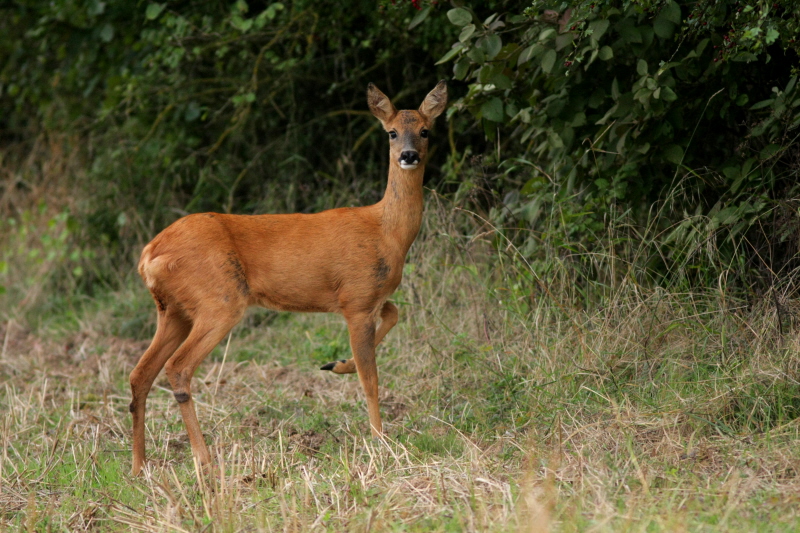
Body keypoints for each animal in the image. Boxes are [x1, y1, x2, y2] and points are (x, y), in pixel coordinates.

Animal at [128, 80, 446, 474]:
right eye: (391, 132)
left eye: (425, 130)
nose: (408, 155)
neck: (387, 232)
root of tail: (148, 255)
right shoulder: (356, 299)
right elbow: (370, 378)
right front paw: (380, 441)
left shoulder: (367, 297)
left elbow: (394, 313)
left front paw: (337, 364)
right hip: (219, 299)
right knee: (178, 367)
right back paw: (205, 460)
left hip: (174, 310)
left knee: (140, 374)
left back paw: (139, 466)